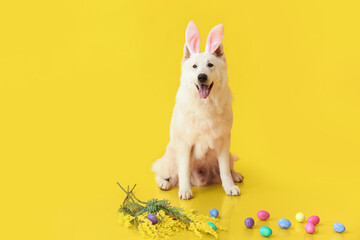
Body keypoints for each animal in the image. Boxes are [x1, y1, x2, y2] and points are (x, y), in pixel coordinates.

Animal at [152, 21, 245, 200]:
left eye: (210, 65)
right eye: (194, 66)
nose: (201, 76)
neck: (205, 104)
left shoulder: (224, 141)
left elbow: (224, 170)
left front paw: (229, 186)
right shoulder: (185, 144)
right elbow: (184, 170)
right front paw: (185, 190)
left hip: (228, 154)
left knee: (229, 167)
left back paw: (236, 175)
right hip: (171, 158)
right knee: (160, 173)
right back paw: (163, 183)